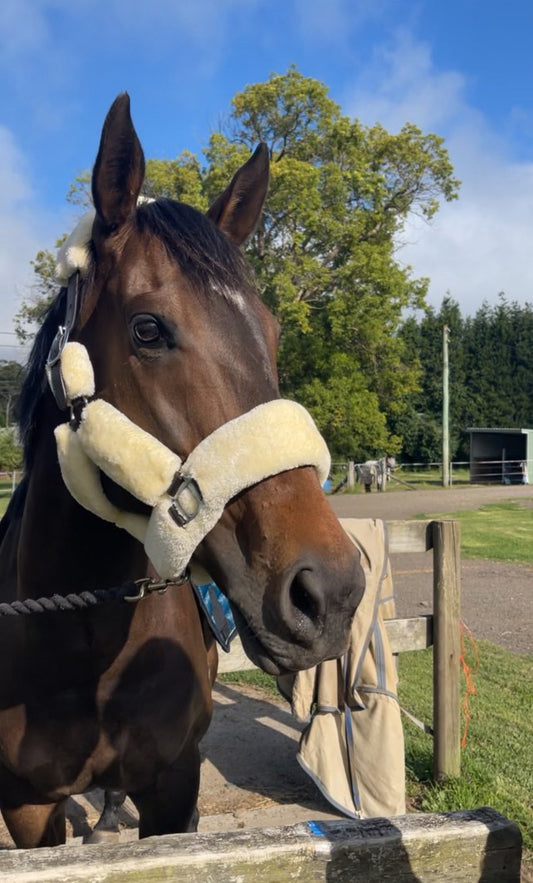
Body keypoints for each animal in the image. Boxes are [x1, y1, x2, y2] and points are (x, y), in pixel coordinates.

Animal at [0, 96, 364, 848]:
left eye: (272, 333)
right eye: (148, 329)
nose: (331, 591)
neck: (79, 644)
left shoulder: (174, 785)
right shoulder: (26, 808)